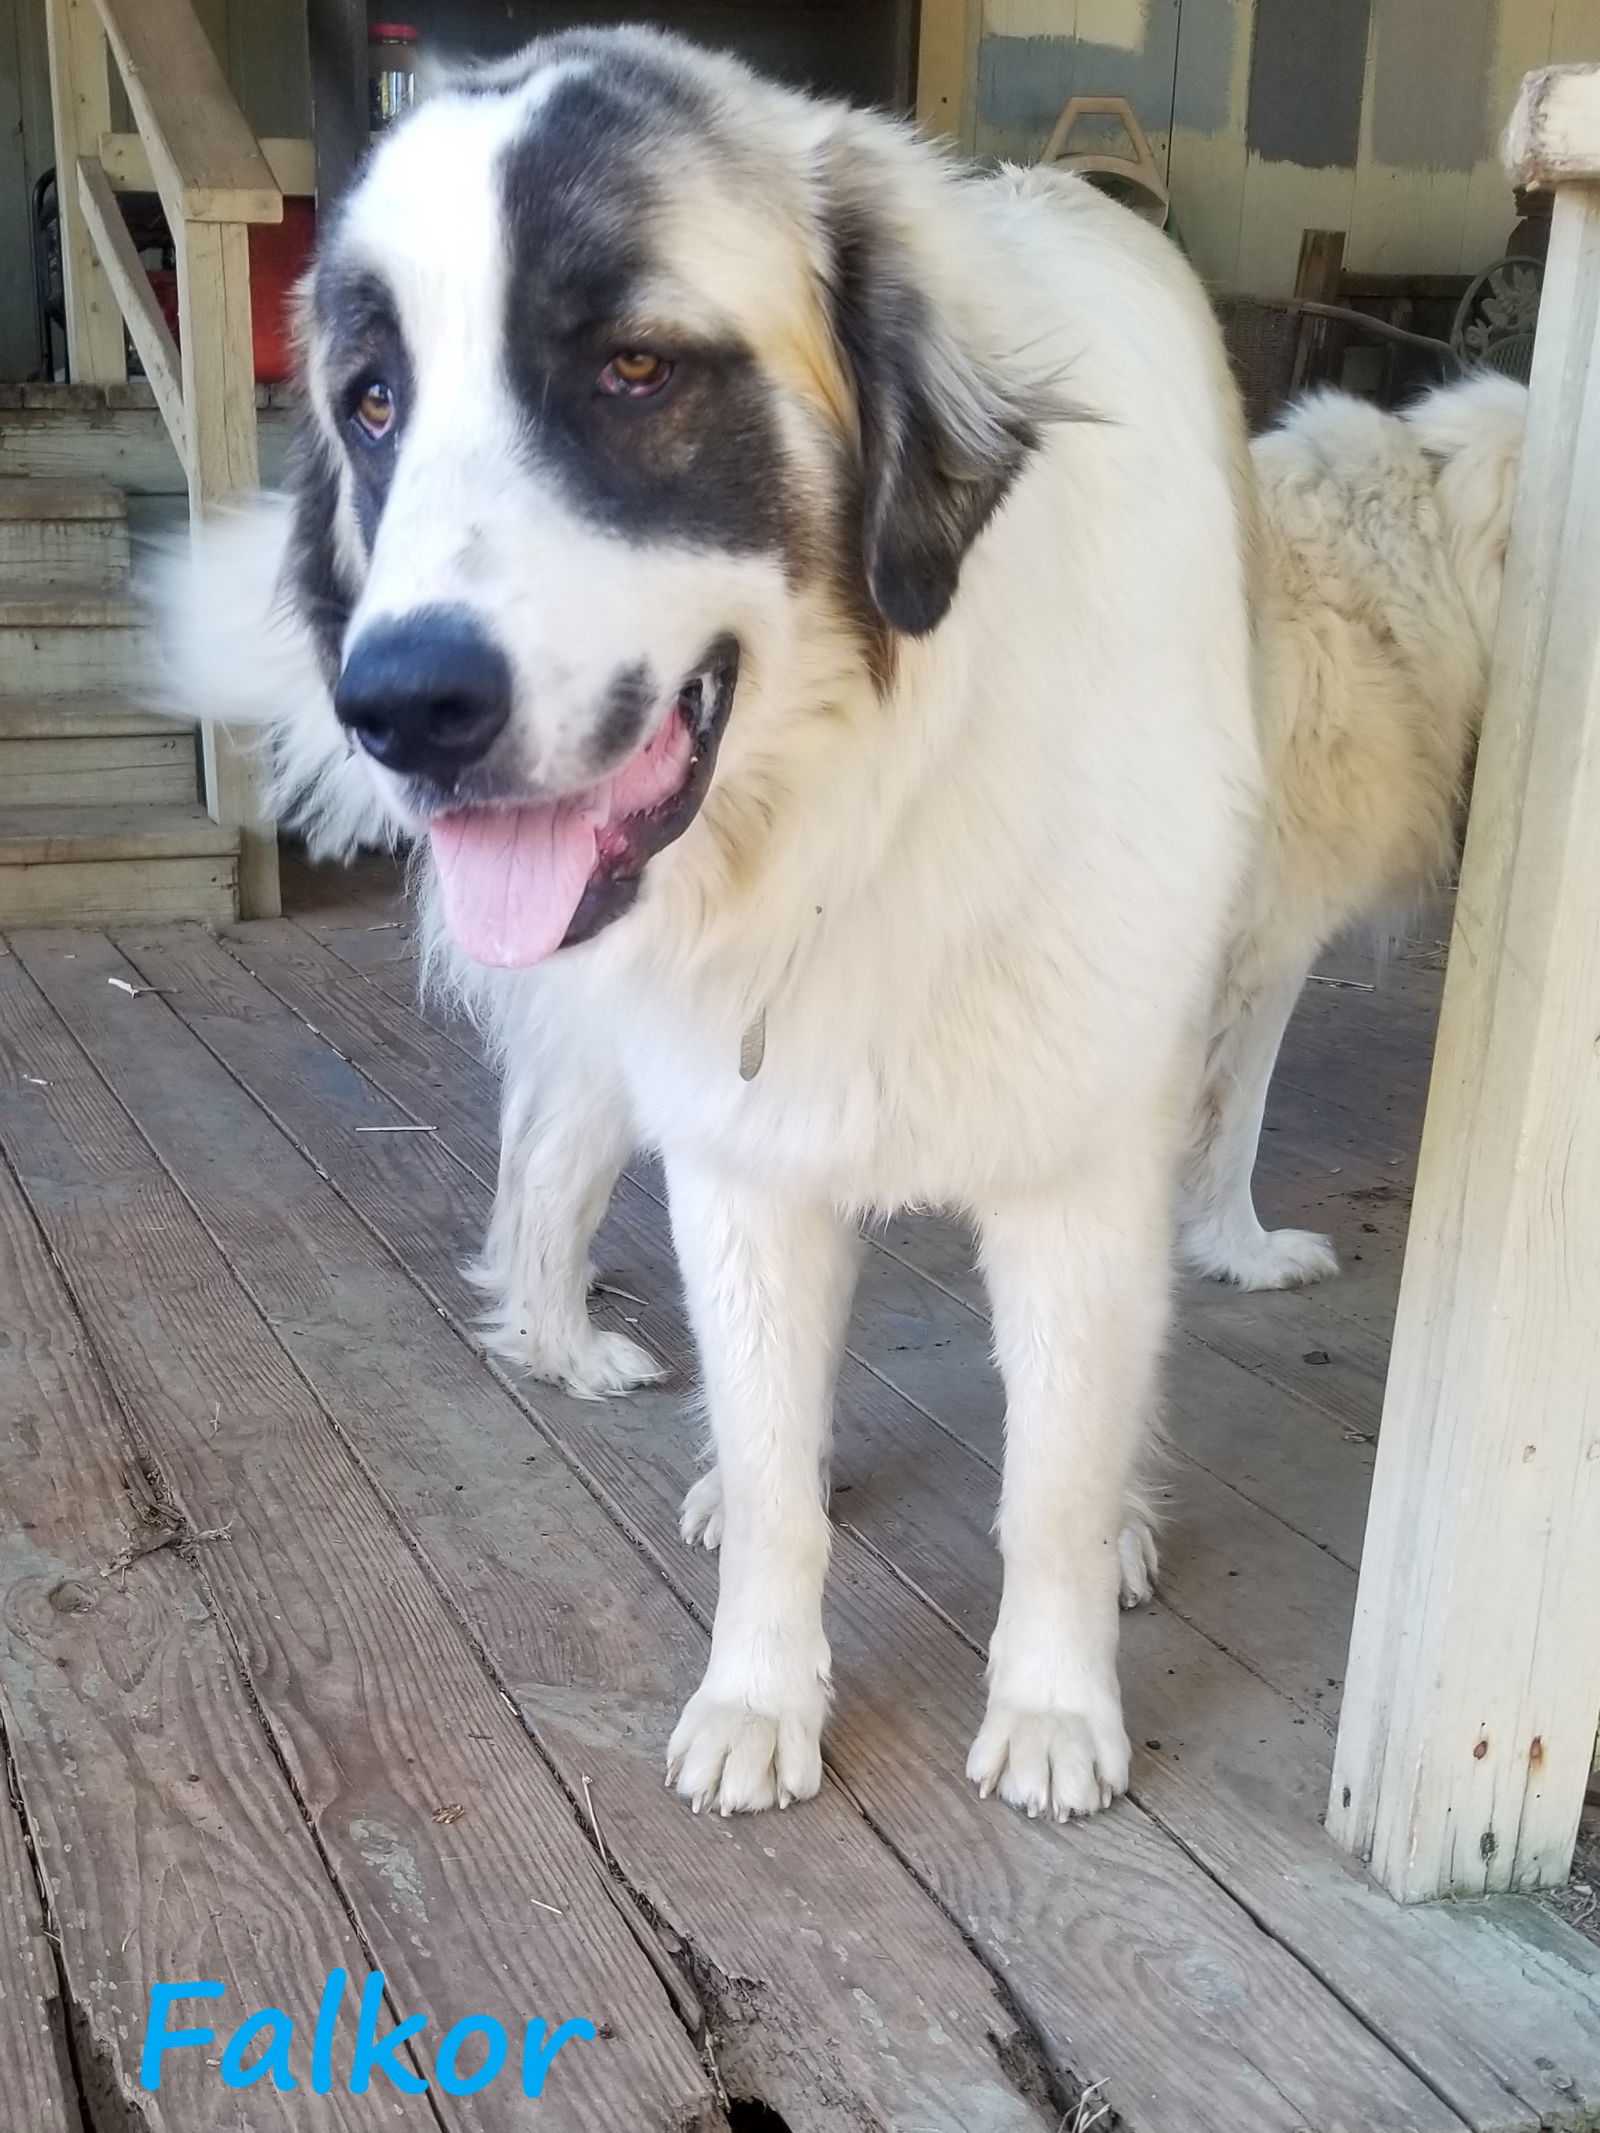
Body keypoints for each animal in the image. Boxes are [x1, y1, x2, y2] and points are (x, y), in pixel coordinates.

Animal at [163, 29, 1262, 1817]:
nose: (398, 707)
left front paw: (1051, 1698)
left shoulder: (1083, 1167)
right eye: (375, 402)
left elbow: (1052, 1474)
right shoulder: (743, 1163)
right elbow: (769, 1476)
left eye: (633, 371)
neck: (862, 806)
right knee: (552, 1186)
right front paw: (759, 1693)